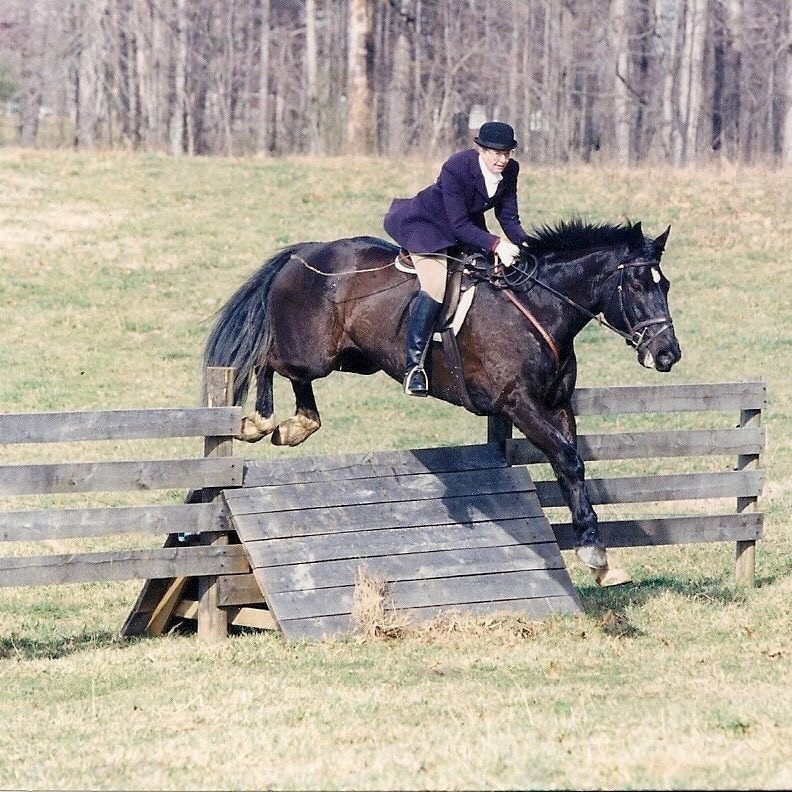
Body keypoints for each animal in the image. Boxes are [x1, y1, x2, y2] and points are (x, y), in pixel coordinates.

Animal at [204, 219, 681, 579]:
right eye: (636, 285)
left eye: (667, 286)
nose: (667, 355)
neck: (540, 307)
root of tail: (305, 253)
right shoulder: (517, 404)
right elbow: (567, 459)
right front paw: (593, 552)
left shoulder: (557, 405)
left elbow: (572, 465)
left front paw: (597, 553)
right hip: (312, 353)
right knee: (267, 358)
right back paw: (261, 422)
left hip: (352, 359)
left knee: (297, 384)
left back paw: (297, 425)